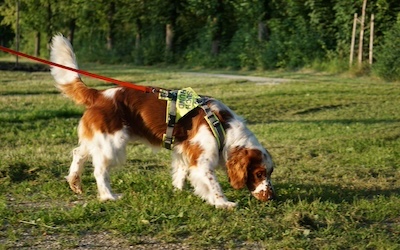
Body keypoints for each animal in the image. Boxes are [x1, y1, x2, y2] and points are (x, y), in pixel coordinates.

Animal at [49, 34, 276, 208]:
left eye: (269, 172)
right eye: (258, 173)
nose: (271, 197)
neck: (223, 128)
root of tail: (99, 95)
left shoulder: (184, 151)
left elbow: (181, 173)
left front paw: (177, 191)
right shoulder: (201, 159)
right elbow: (213, 184)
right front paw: (223, 203)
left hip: (99, 139)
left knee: (78, 153)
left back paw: (75, 182)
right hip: (112, 144)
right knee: (99, 170)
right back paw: (109, 196)